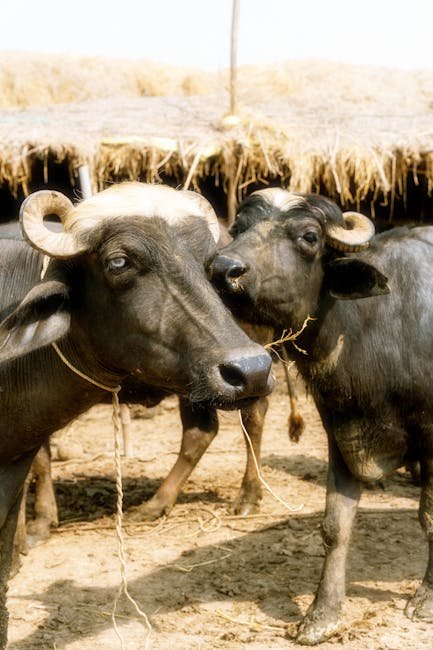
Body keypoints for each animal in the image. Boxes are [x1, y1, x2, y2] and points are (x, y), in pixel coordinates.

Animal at [209, 187, 433, 644]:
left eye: (309, 238)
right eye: (239, 228)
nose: (224, 270)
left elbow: (431, 519)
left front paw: (425, 599)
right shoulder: (341, 431)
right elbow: (334, 526)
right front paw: (321, 615)